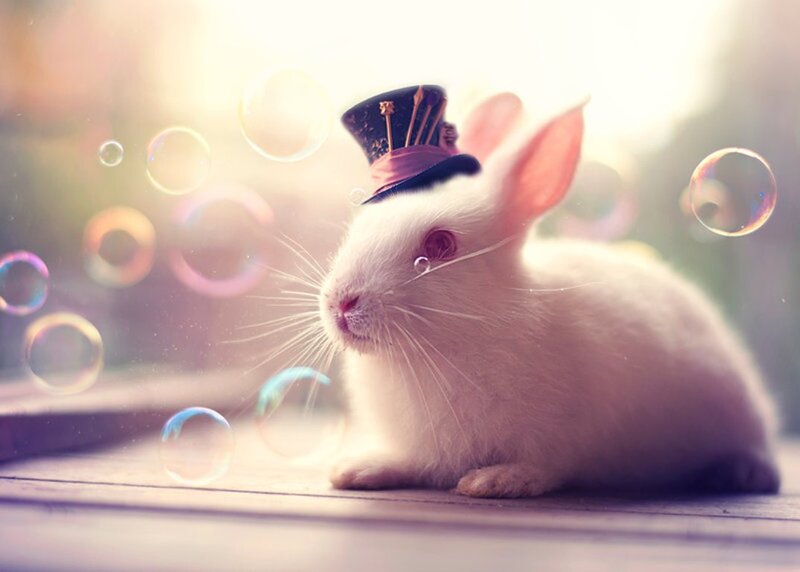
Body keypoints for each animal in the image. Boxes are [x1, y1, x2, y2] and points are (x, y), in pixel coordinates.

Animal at [319, 94, 780, 498]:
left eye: (440, 244)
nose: (341, 303)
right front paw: (359, 469)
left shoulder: (566, 434)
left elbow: (544, 467)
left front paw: (494, 481)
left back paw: (741, 473)